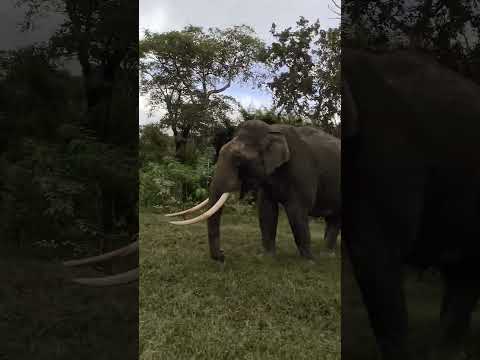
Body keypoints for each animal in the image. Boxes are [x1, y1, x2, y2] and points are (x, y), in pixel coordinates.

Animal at [167, 121, 340, 262]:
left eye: (238, 160)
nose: (223, 255)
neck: (271, 130)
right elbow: (266, 210)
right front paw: (267, 258)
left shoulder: (302, 172)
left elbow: (296, 211)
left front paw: (309, 261)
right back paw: (327, 252)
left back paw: (326, 255)